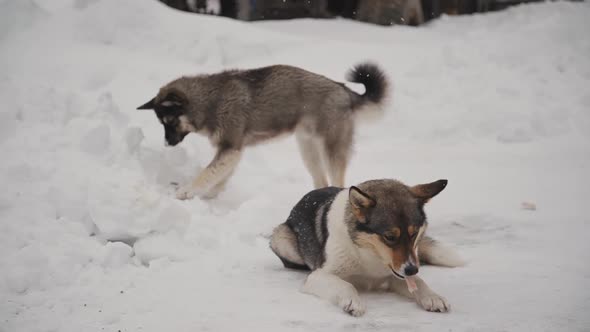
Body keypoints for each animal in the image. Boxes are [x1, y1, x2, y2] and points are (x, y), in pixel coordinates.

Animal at [136, 63, 390, 201]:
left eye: (170, 121)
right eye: (161, 123)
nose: (167, 144)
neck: (210, 100)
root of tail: (344, 91)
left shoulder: (230, 148)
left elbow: (206, 174)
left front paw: (186, 192)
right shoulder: (232, 151)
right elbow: (218, 177)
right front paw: (209, 196)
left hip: (331, 150)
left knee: (338, 182)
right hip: (308, 151)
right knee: (321, 181)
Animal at [270, 179, 468, 316]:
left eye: (413, 234)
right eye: (389, 237)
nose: (412, 269)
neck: (369, 255)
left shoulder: (396, 273)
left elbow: (419, 282)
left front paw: (433, 297)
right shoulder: (317, 276)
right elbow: (345, 284)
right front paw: (352, 302)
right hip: (281, 238)